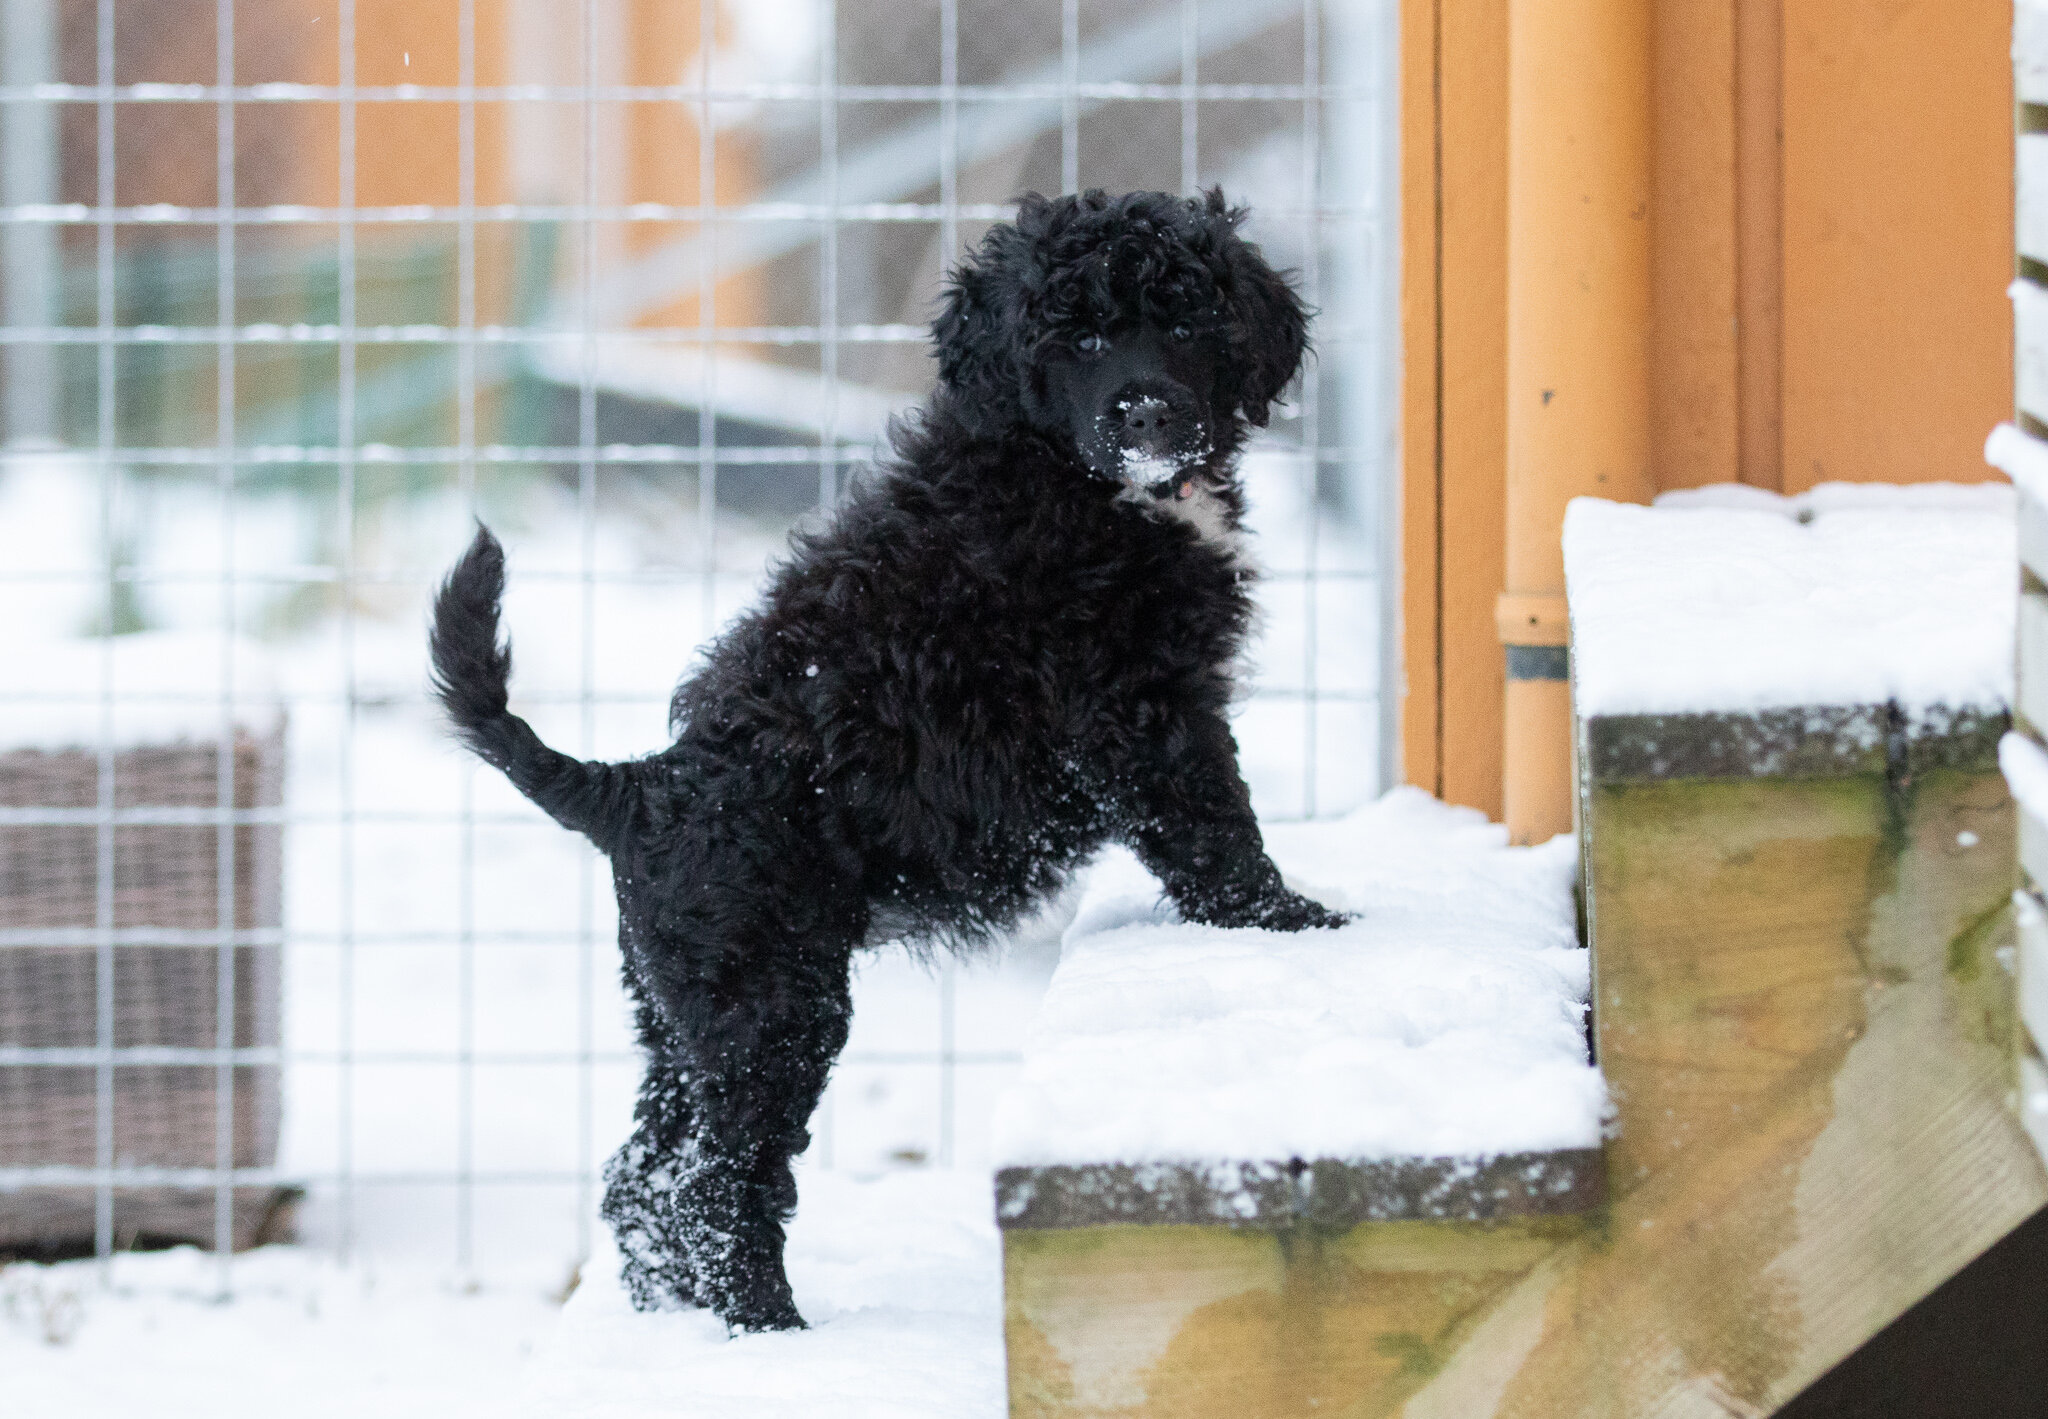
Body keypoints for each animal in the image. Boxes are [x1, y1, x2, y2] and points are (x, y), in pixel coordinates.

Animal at [428, 188, 1343, 1326]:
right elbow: (1213, 825)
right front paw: (1293, 922)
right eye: (1078, 340)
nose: (1144, 415)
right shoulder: (1137, 707)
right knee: (716, 1179)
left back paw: (674, 1321)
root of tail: (640, 787)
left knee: (643, 1171)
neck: (1078, 477)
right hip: (773, 998)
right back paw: (770, 1329)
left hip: (680, 1004)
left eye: (1184, 320)